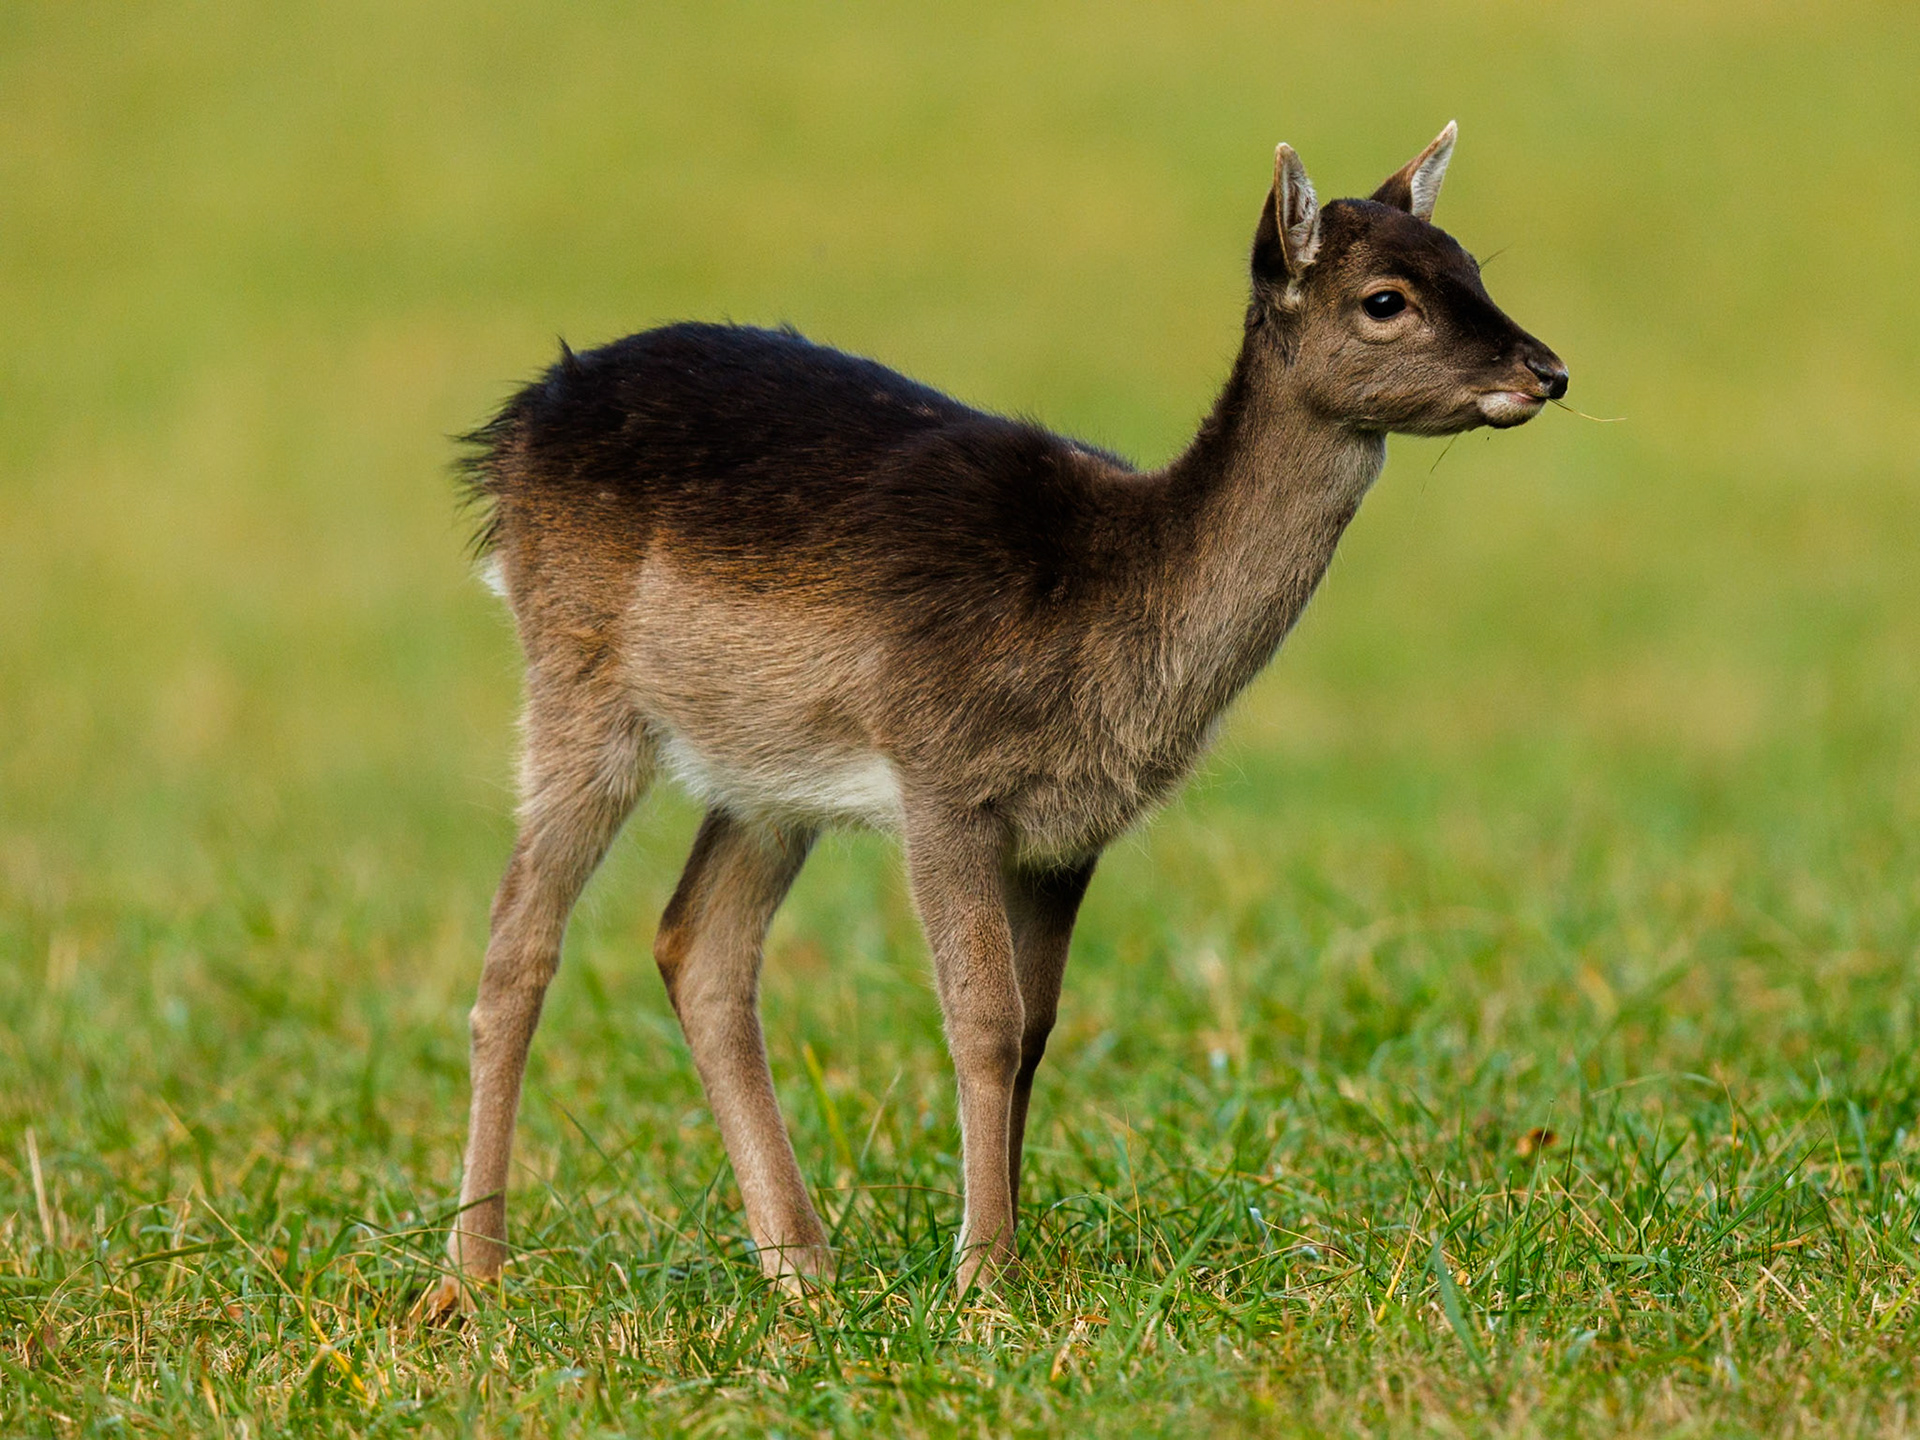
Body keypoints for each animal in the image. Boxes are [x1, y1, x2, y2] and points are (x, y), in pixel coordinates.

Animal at [429, 122, 1567, 1314]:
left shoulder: (1069, 834)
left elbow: (1034, 1027)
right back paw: (471, 1275)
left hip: (763, 770)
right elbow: (977, 1023)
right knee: (518, 942)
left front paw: (1010, 1253)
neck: (1113, 618)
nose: (1547, 370)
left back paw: (802, 1269)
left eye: (1472, 264)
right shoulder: (943, 777)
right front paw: (980, 1280)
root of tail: (509, 434)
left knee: (698, 945)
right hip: (578, 679)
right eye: (1386, 297)